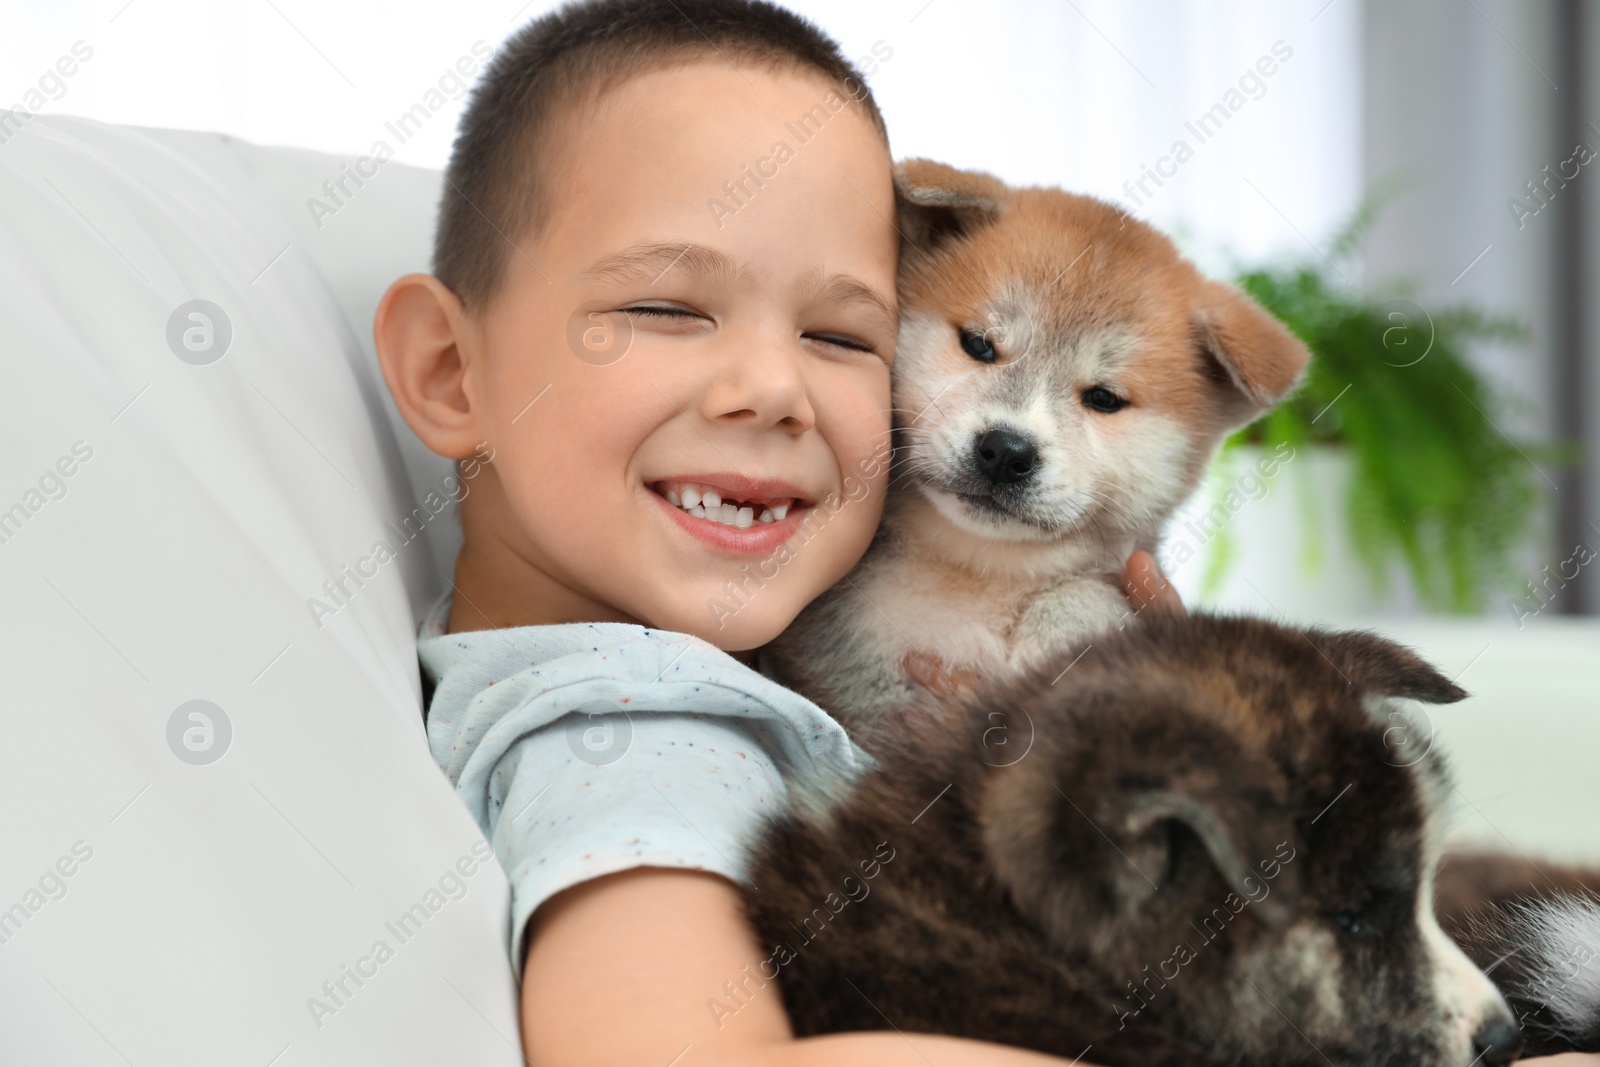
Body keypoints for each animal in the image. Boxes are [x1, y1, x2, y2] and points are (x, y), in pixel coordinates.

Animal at [764, 160, 1312, 742]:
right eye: (979, 344)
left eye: (1103, 398)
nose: (1006, 451)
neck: (979, 578)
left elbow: (1091, 599)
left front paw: (1059, 637)